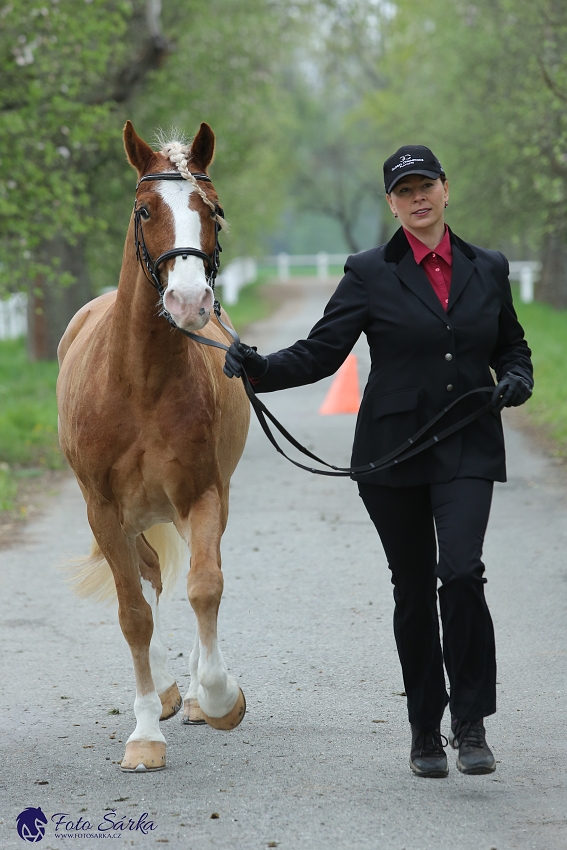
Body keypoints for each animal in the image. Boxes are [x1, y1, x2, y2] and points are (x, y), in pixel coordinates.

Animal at [57, 122, 251, 772]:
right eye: (146, 210)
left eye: (212, 209)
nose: (190, 302)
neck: (138, 383)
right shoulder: (104, 512)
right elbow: (133, 614)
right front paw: (144, 735)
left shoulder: (202, 494)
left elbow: (205, 585)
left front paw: (218, 699)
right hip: (127, 518)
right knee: (149, 580)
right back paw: (165, 693)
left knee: (186, 577)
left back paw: (188, 695)